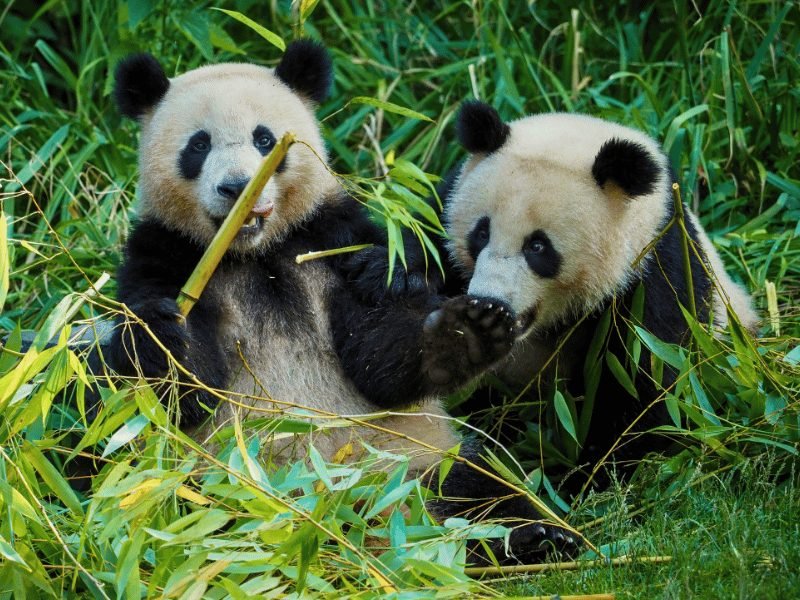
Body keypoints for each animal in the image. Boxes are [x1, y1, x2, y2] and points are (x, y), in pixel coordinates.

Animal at [103, 43, 577, 564]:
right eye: (198, 146)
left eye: (264, 140)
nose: (237, 187)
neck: (254, 253)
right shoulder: (166, 254)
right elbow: (181, 391)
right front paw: (163, 336)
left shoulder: (337, 240)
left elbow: (381, 354)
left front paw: (467, 332)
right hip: (208, 487)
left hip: (414, 457)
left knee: (477, 486)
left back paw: (533, 536)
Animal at [342, 100, 758, 486]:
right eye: (481, 233)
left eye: (538, 247)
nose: (490, 302)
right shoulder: (445, 207)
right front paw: (430, 310)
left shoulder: (655, 269)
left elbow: (646, 390)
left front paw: (579, 479)